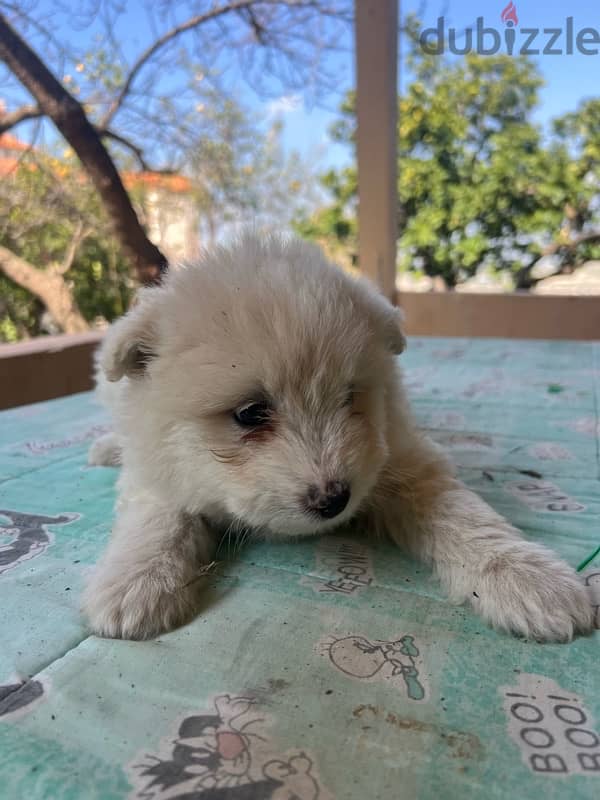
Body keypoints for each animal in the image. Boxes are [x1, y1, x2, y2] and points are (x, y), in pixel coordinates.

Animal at [83, 233, 592, 644]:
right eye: (249, 414)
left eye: (350, 395)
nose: (333, 501)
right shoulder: (158, 466)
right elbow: (159, 519)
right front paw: (134, 584)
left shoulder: (400, 458)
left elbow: (463, 516)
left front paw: (531, 580)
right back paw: (106, 448)